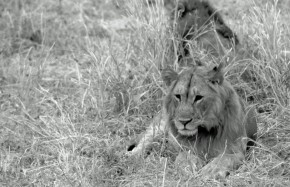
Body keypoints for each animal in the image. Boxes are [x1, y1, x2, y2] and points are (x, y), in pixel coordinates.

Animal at [128, 63, 258, 179]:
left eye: (198, 97)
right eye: (178, 96)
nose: (183, 121)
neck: (204, 132)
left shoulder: (236, 151)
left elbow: (224, 159)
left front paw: (211, 170)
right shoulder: (183, 148)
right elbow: (184, 155)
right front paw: (188, 166)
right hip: (159, 126)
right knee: (145, 141)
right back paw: (131, 156)